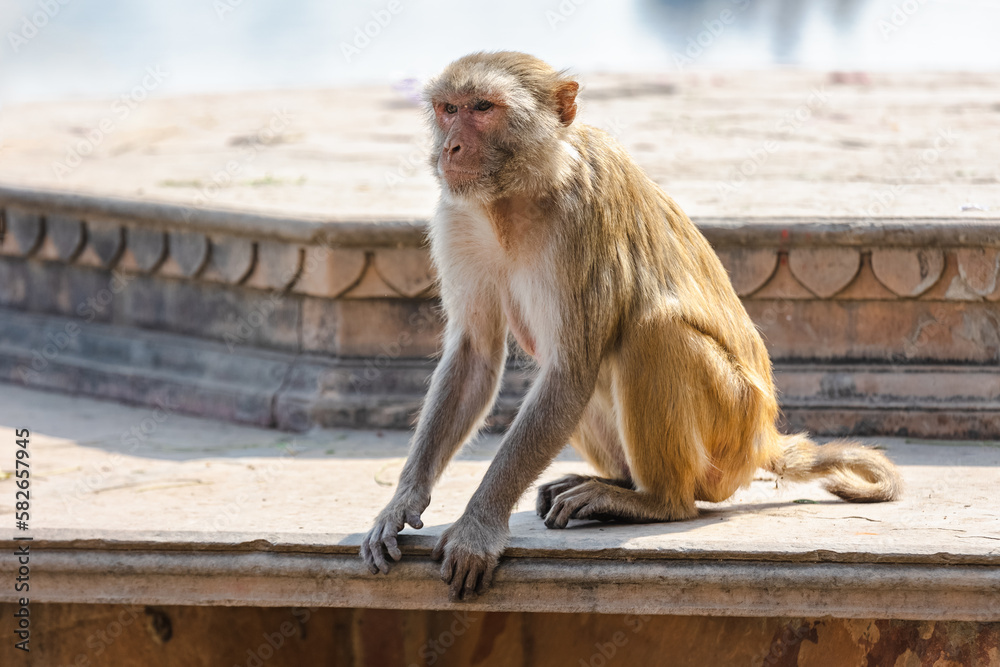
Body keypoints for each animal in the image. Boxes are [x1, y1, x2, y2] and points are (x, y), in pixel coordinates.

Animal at [362, 52, 908, 600]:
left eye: (482, 108)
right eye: (448, 109)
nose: (450, 146)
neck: (515, 194)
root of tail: (763, 438)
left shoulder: (580, 217)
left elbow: (570, 371)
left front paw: (477, 529)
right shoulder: (458, 214)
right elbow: (476, 355)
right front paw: (401, 503)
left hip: (729, 431)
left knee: (653, 333)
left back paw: (656, 500)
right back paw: (618, 484)